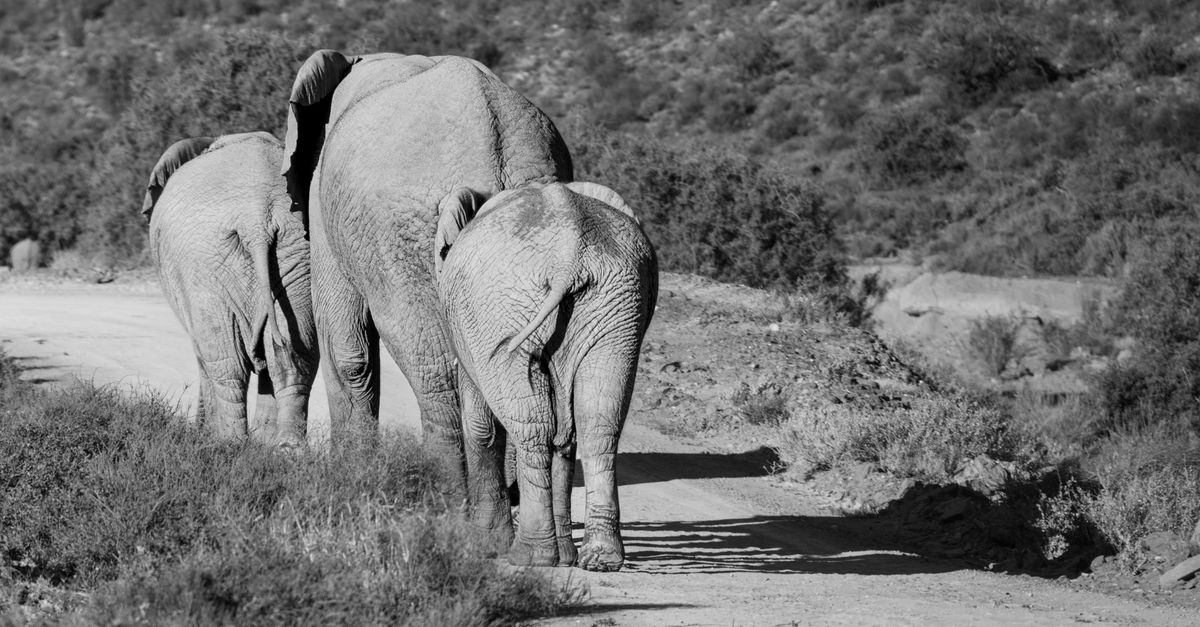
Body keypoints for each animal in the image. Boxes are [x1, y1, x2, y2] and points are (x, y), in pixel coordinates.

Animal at [145, 132, 317, 446]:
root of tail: (257, 220)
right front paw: (264, 444)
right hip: (298, 252)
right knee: (291, 355)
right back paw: (286, 449)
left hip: (203, 267)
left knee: (227, 363)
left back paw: (228, 444)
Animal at [281, 51, 572, 490]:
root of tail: (492, 158)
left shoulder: (323, 199)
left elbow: (347, 349)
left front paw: (349, 475)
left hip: (400, 236)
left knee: (432, 369)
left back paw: (447, 495)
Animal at [435, 182, 658, 571]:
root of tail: (569, 256)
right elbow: (566, 437)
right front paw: (565, 557)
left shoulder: (470, 334)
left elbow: (481, 424)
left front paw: (483, 543)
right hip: (617, 304)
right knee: (597, 423)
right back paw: (599, 559)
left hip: (500, 308)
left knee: (533, 427)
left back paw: (530, 556)